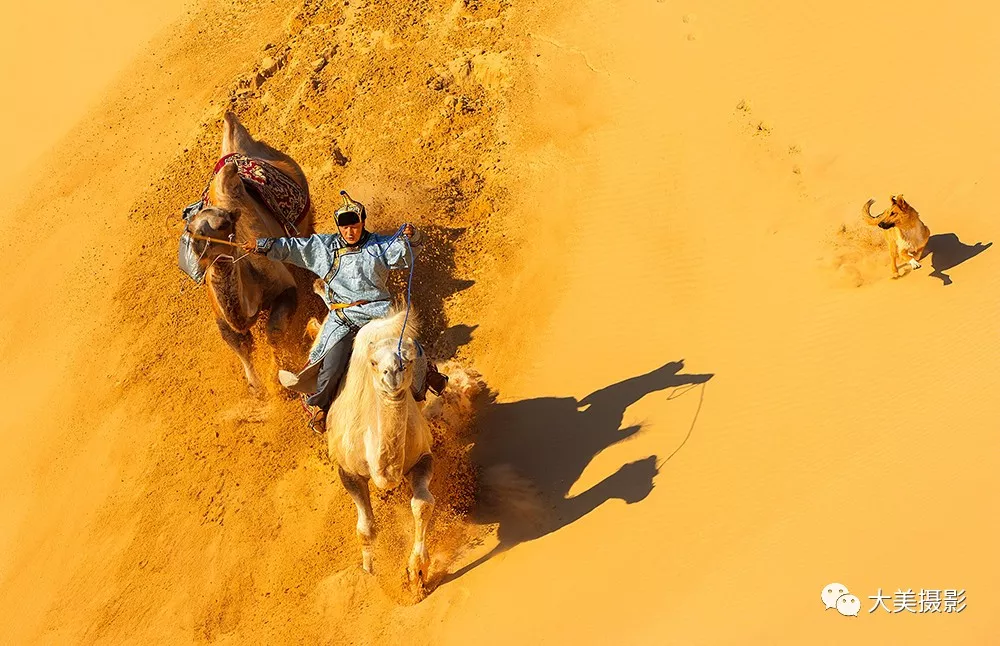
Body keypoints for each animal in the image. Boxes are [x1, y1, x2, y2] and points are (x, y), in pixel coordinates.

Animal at [326, 310, 436, 592]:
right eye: (374, 363)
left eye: (409, 358)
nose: (392, 374)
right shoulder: (348, 472)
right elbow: (366, 528)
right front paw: (369, 573)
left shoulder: (423, 457)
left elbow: (422, 504)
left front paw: (417, 572)